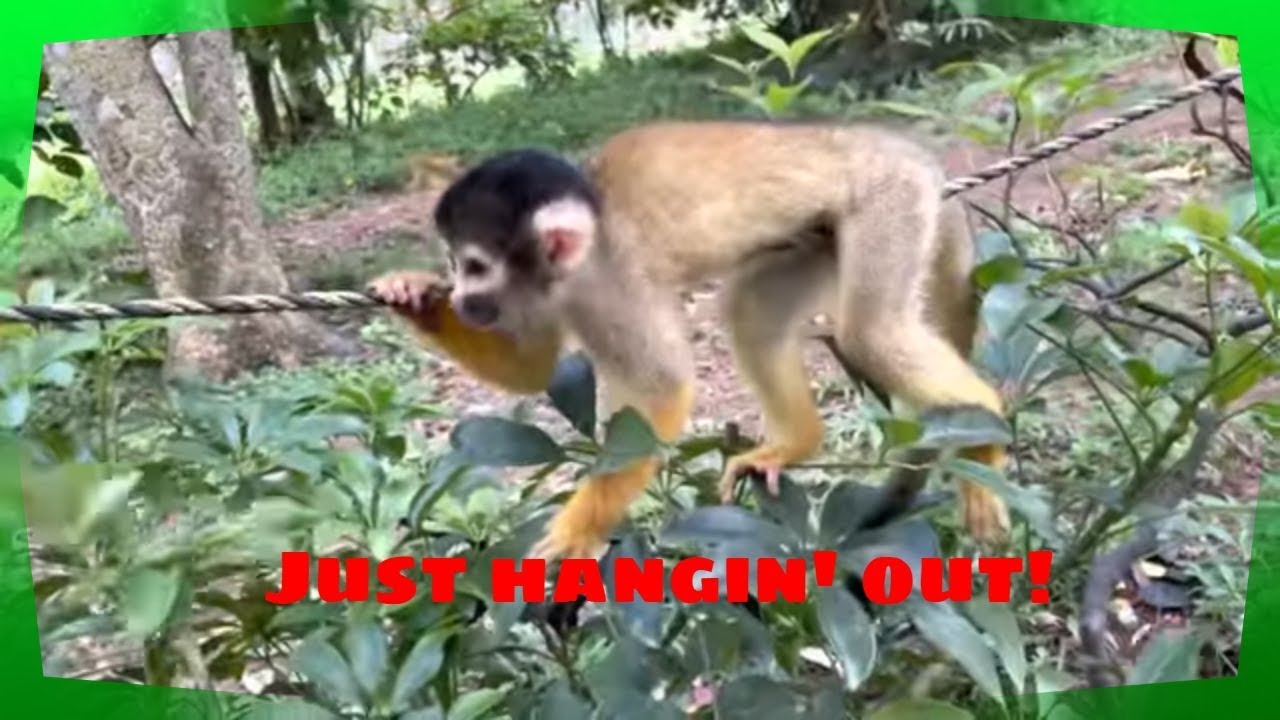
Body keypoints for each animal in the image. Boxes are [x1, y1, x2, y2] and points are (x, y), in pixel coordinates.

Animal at [367, 120, 1011, 561]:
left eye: (475, 266)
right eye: (455, 266)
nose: (463, 299)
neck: (574, 265)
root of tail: (907, 151)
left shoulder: (615, 282)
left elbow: (663, 390)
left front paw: (575, 534)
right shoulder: (546, 294)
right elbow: (533, 370)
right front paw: (412, 293)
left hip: (888, 201)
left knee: (870, 331)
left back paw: (984, 426)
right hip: (819, 235)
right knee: (751, 311)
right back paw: (794, 444)